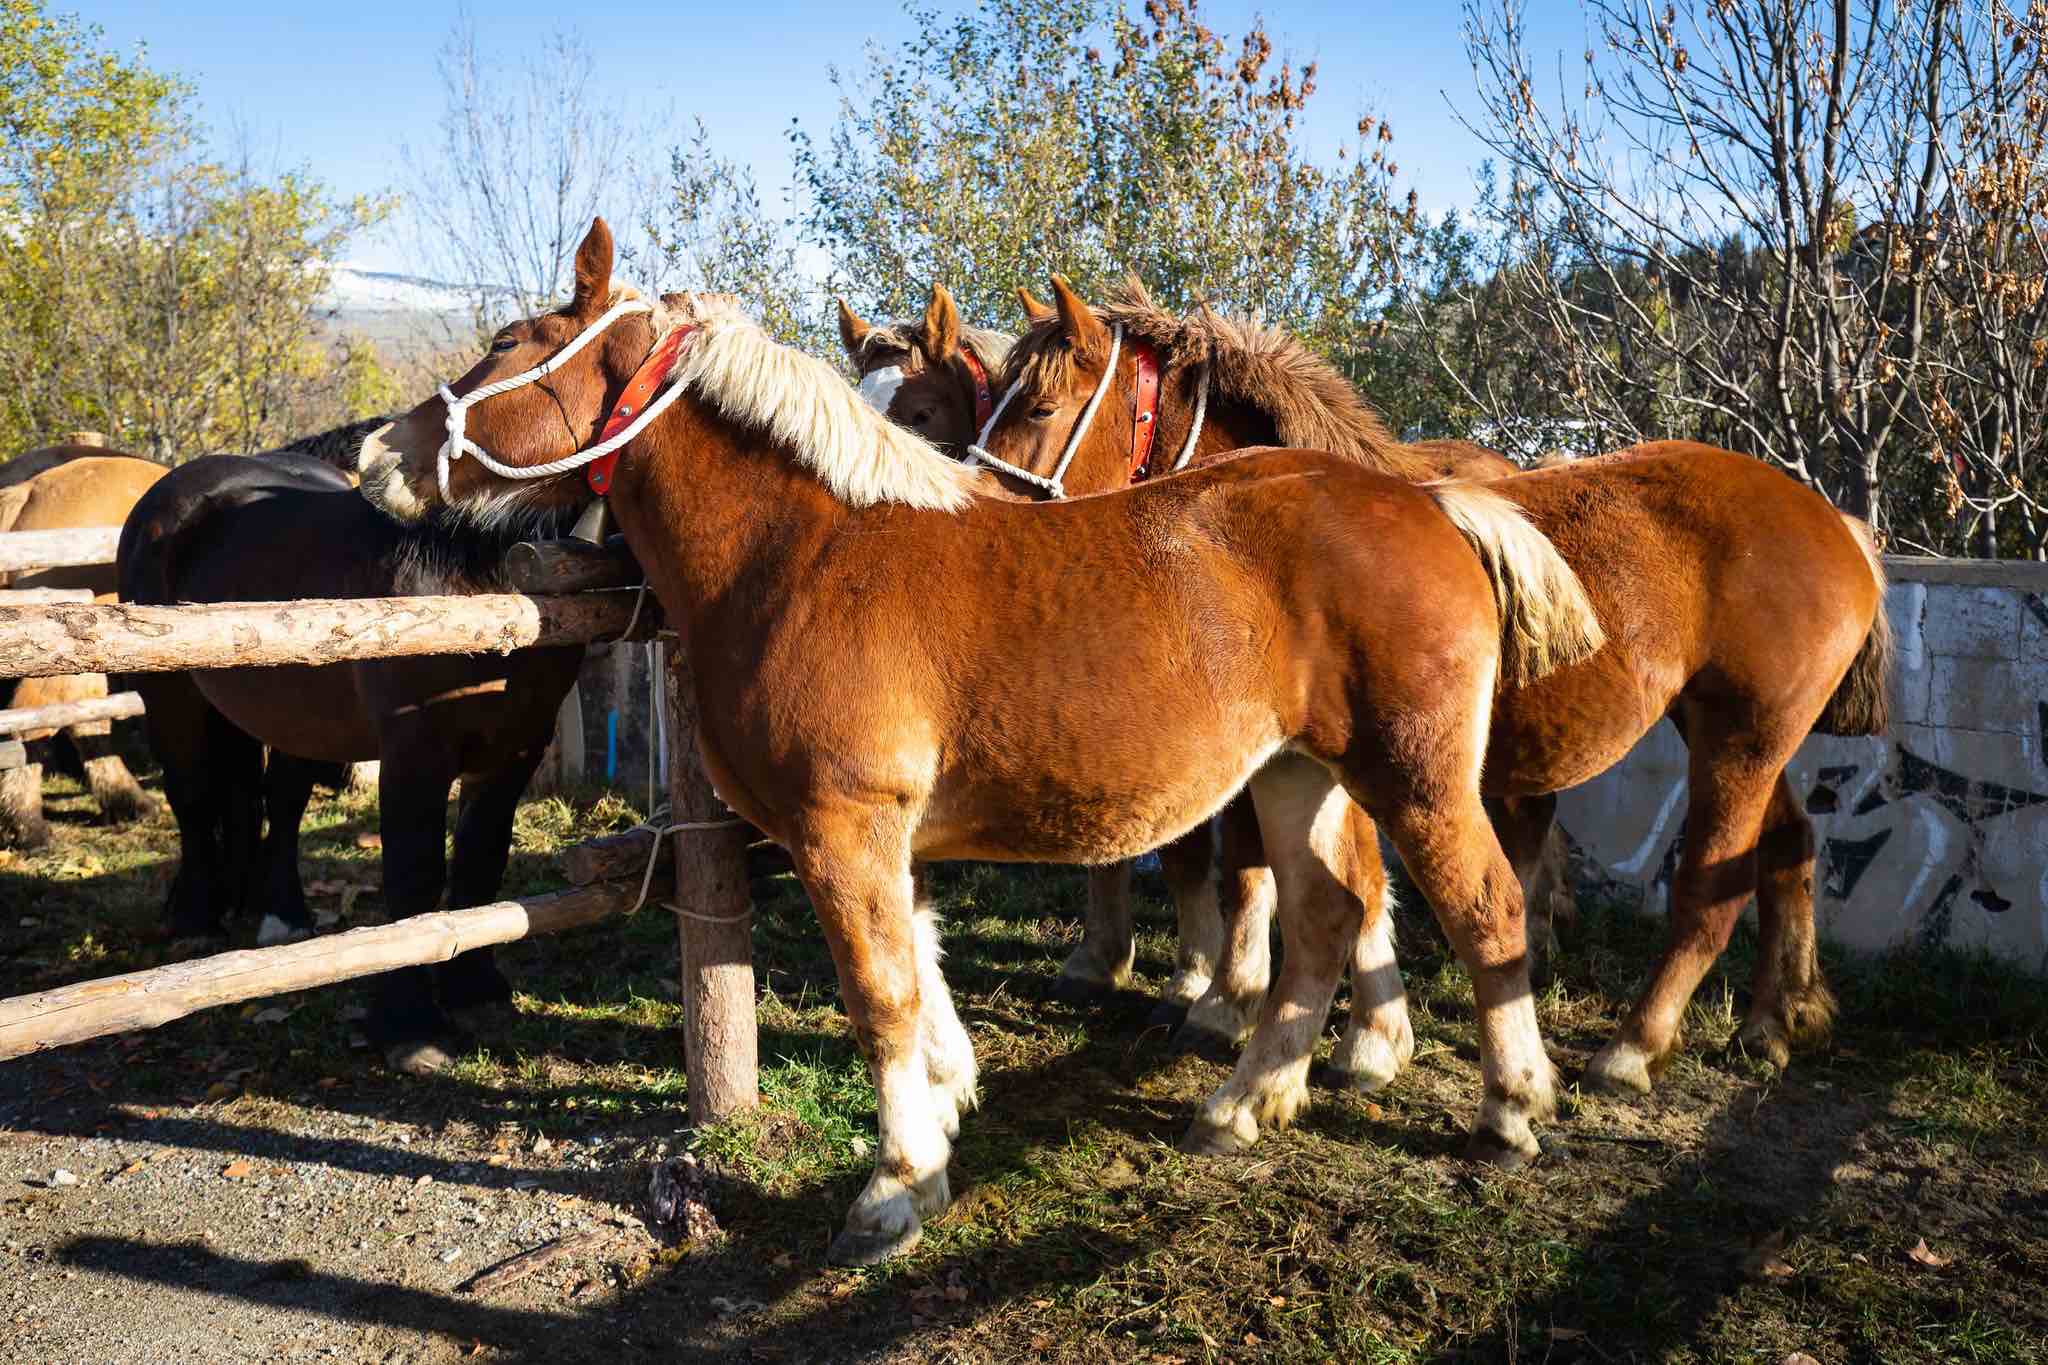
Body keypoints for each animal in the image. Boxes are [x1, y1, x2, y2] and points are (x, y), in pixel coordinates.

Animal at [117, 454, 585, 1072]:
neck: (478, 577)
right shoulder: (415, 753)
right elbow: (414, 878)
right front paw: (410, 1029)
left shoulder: (515, 751)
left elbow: (480, 864)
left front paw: (477, 995)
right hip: (173, 697)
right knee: (192, 800)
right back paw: (196, 919)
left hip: (291, 716)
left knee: (280, 803)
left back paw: (282, 915)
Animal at [364, 222, 1613, 1260]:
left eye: (509, 343)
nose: (378, 454)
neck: (801, 551)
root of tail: (1426, 499)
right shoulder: (887, 837)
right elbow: (921, 973)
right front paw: (949, 1104)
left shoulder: (843, 828)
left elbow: (880, 996)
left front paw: (896, 1185)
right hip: (1300, 774)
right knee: (1322, 920)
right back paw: (1243, 1103)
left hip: (1413, 778)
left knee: (1486, 910)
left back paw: (1510, 1110)